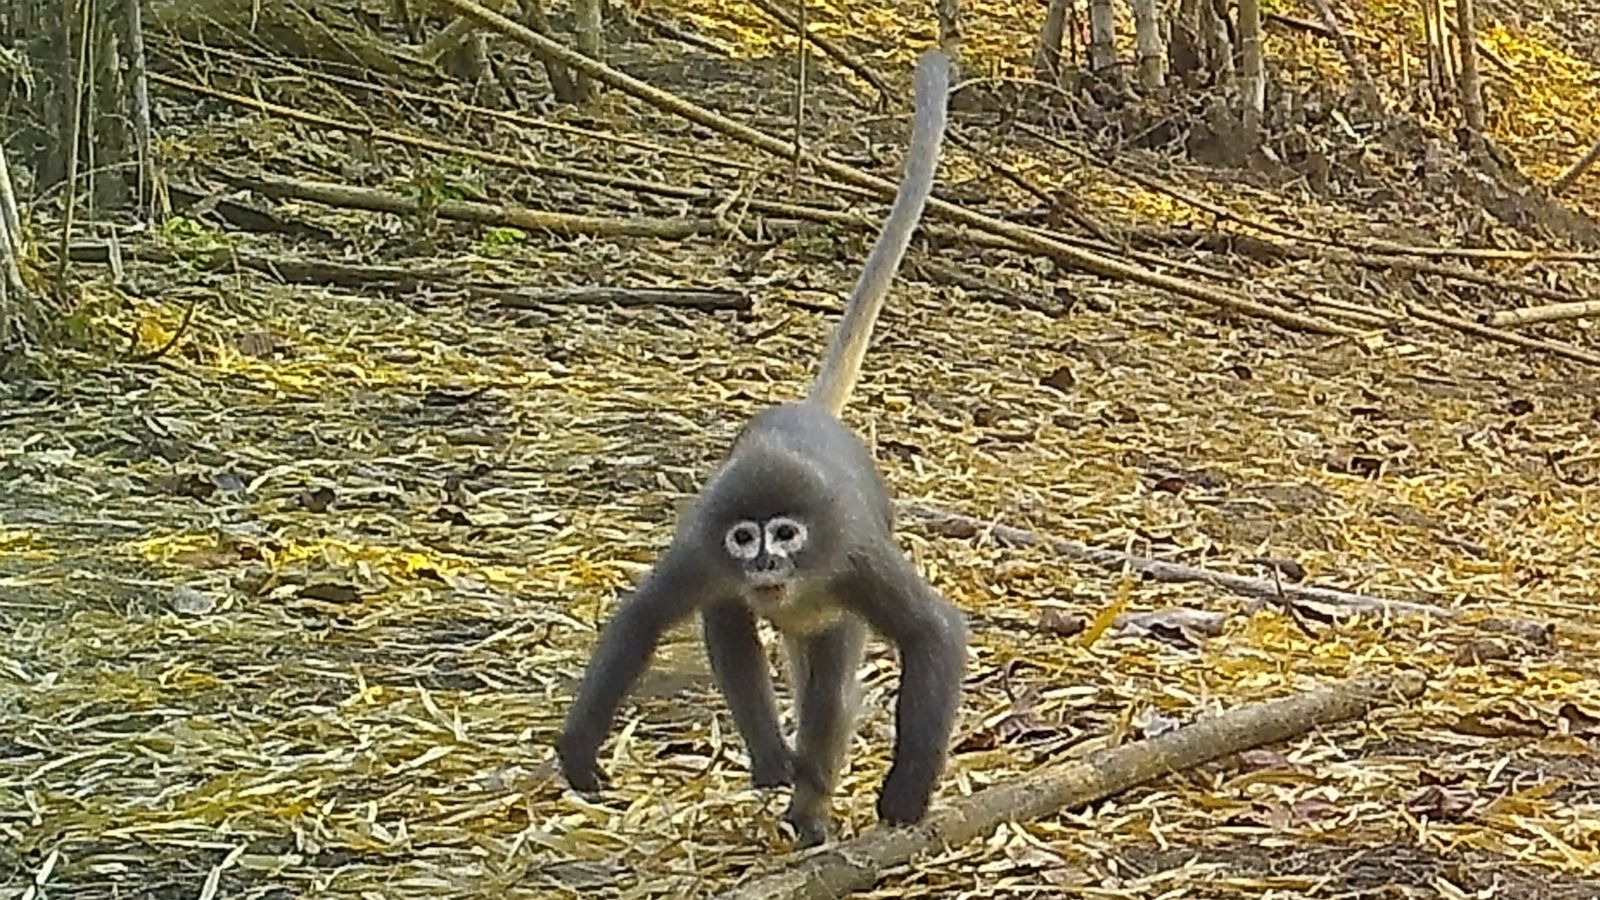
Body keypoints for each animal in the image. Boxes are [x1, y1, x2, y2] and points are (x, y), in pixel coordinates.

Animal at [555, 49, 964, 848]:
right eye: (747, 537)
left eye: (787, 535)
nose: (765, 564)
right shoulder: (703, 547)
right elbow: (644, 619)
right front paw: (581, 747)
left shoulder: (853, 555)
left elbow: (933, 632)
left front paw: (905, 794)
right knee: (730, 626)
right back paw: (780, 766)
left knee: (828, 693)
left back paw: (809, 804)